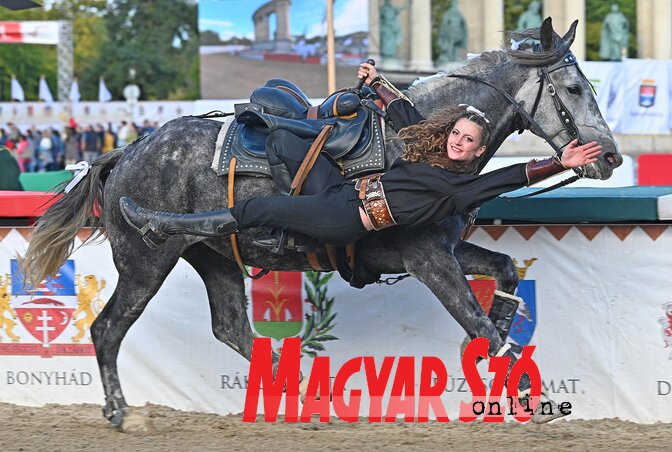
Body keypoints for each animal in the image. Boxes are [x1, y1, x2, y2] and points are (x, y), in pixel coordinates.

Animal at [19, 20, 620, 430]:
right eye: (573, 88)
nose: (610, 156)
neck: (415, 141)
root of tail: (127, 153)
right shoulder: (428, 259)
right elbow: (481, 328)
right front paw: (532, 397)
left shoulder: (441, 251)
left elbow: (504, 275)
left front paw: (502, 331)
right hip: (146, 263)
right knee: (107, 329)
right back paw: (121, 411)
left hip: (214, 258)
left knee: (232, 329)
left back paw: (313, 398)